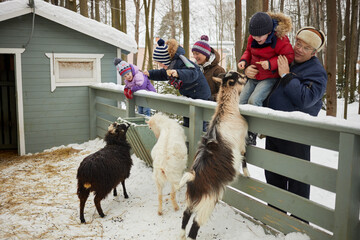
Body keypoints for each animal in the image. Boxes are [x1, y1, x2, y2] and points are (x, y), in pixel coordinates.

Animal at [179, 71, 249, 240]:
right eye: (239, 76)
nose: (247, 76)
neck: (226, 112)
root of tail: (193, 178)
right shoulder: (241, 142)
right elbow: (244, 155)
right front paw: (247, 173)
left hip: (192, 198)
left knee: (185, 214)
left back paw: (181, 235)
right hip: (207, 202)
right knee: (195, 225)